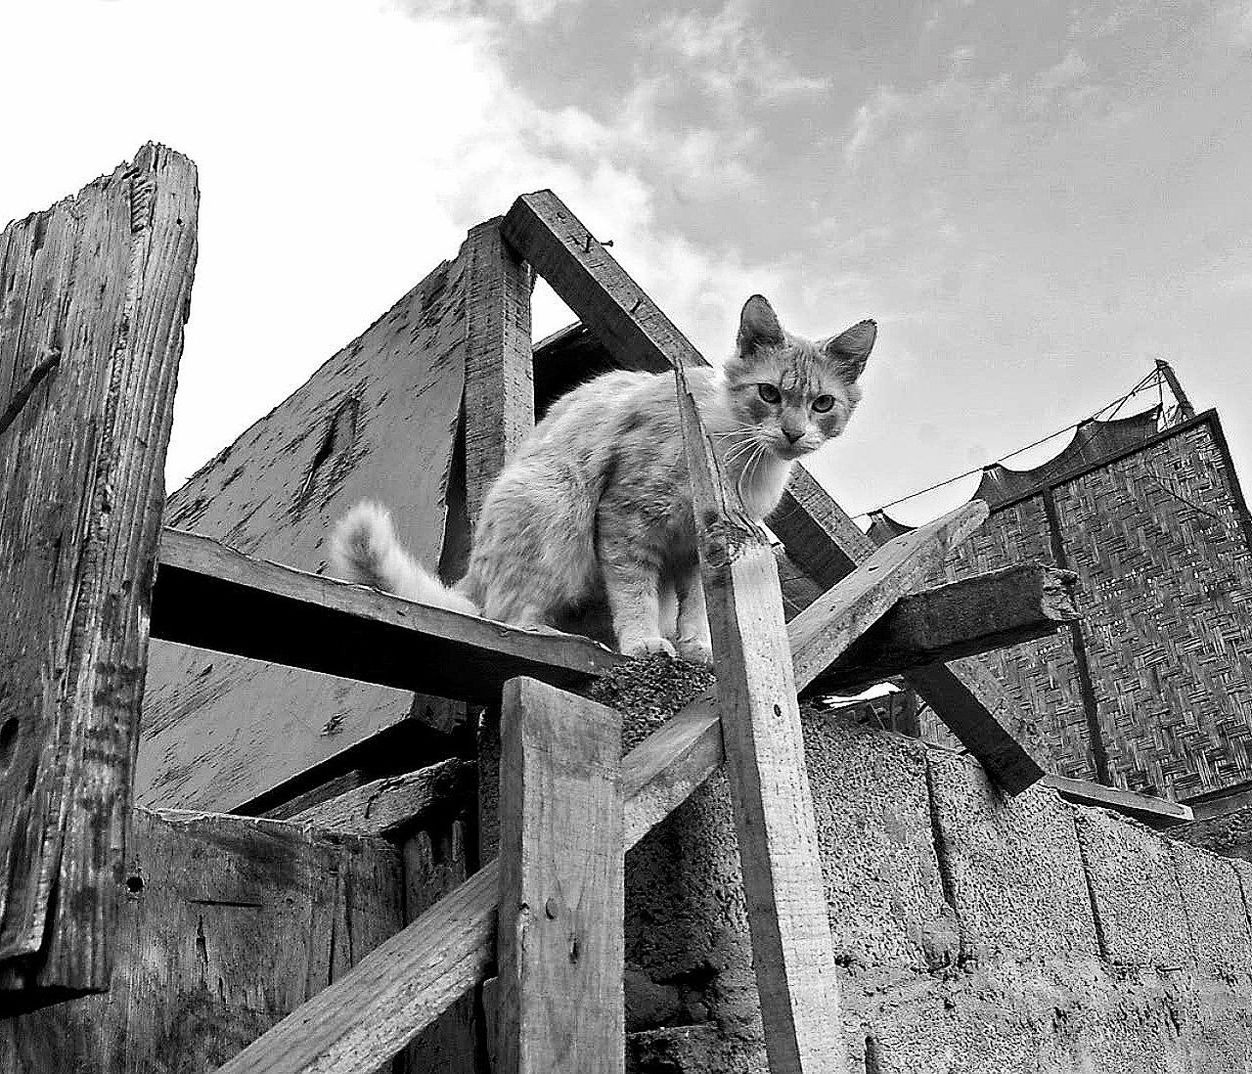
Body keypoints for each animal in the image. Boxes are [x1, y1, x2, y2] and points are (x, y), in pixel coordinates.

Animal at [333, 295, 881, 660]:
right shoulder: (627, 520)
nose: (793, 433)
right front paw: (644, 642)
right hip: (555, 508)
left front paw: (697, 647)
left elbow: (698, 609)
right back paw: (566, 637)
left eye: (822, 404)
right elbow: (634, 594)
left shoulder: (696, 548)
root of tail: (472, 573)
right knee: (507, 617)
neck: (741, 458)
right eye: (769, 393)